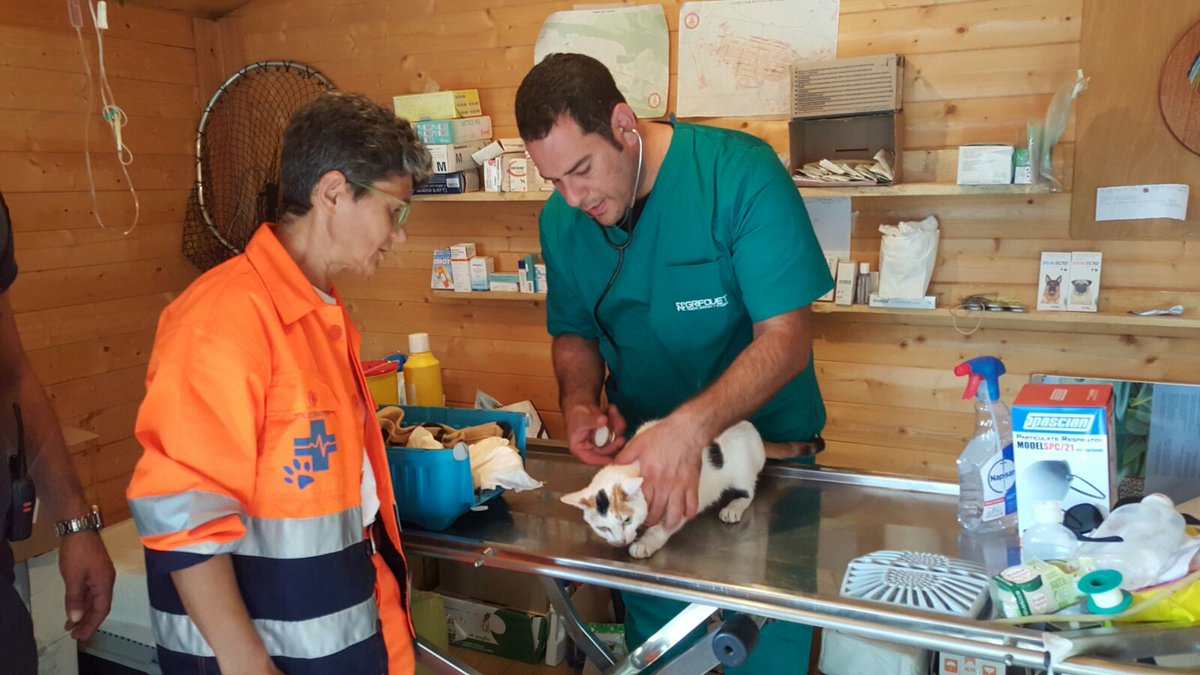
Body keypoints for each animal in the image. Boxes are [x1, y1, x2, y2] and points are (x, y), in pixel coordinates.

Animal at [559, 420, 763, 557]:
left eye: (627, 520)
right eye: (602, 528)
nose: (620, 542)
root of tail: (748, 426)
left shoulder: (681, 501)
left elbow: (661, 527)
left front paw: (645, 543)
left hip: (742, 472)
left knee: (749, 492)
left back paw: (733, 508)